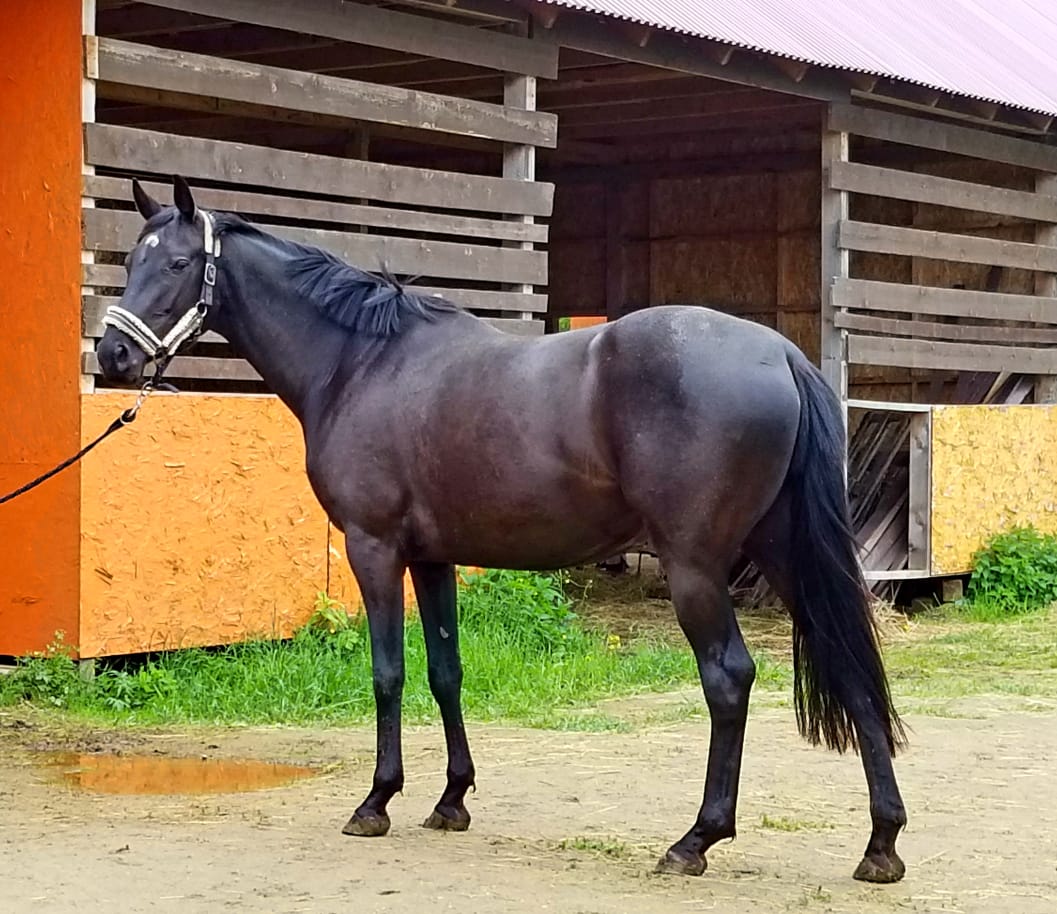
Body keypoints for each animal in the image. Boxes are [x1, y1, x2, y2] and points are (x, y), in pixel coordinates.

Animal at [96, 175, 908, 883]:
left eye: (176, 264)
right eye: (129, 260)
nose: (113, 354)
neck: (361, 363)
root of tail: (779, 352)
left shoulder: (373, 548)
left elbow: (387, 672)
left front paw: (376, 801)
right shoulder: (433, 559)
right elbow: (444, 671)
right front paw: (451, 798)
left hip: (696, 568)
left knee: (728, 679)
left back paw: (696, 840)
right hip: (782, 552)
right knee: (849, 665)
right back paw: (881, 844)